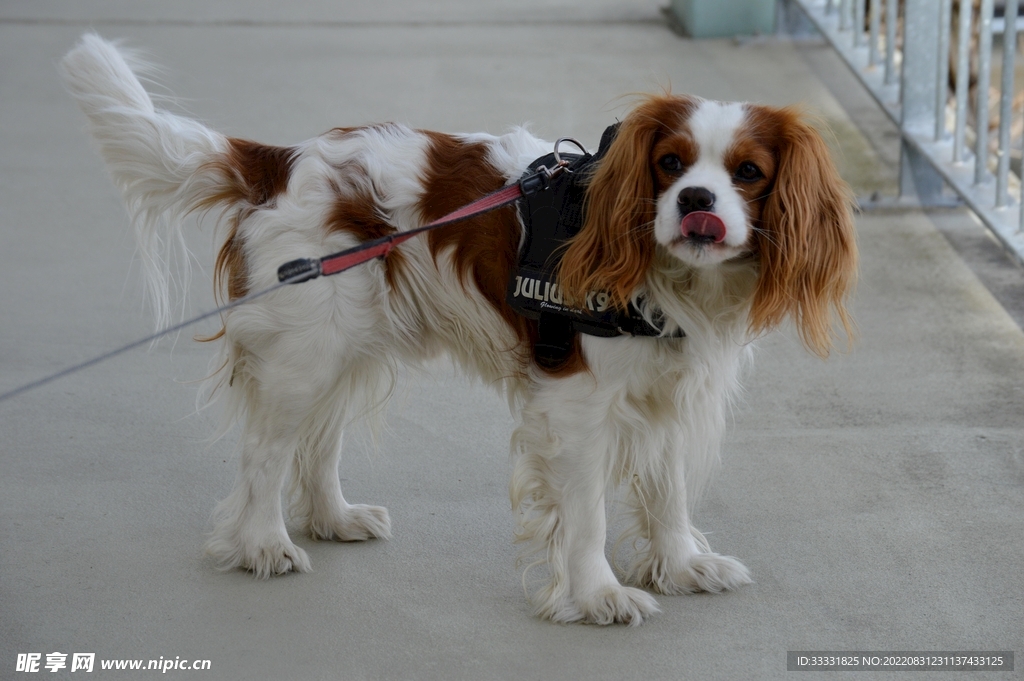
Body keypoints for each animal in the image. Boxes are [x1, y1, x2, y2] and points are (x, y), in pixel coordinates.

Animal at [58, 34, 856, 622]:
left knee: (318, 442)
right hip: (308, 351)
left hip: (347, 346)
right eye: (669, 164)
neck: (672, 280)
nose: (695, 200)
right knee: (266, 452)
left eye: (747, 173)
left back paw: (332, 517)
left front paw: (683, 565)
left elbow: (670, 493)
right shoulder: (578, 404)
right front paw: (597, 595)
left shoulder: (671, 392)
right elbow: (588, 513)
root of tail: (282, 161)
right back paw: (263, 545)